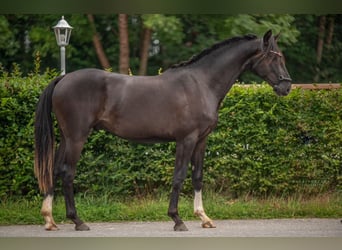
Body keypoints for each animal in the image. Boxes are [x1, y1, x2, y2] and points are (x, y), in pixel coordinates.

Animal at [34, 30, 292, 231]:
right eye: (275, 56)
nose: (287, 86)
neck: (201, 84)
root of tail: (63, 79)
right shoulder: (186, 140)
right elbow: (179, 176)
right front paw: (177, 219)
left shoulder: (201, 140)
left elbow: (197, 176)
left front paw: (204, 217)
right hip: (77, 137)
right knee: (67, 173)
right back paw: (77, 221)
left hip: (66, 138)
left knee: (54, 170)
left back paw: (49, 219)